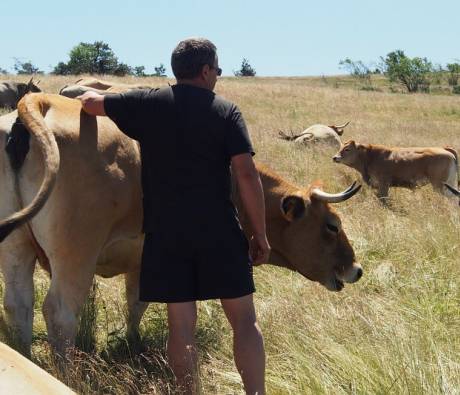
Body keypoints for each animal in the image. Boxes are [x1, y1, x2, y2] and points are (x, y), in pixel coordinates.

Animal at [0, 94, 362, 358]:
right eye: (331, 225)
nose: (356, 270)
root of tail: (40, 102)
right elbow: (140, 305)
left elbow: (134, 305)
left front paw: (131, 342)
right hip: (76, 257)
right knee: (59, 315)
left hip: (16, 250)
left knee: (18, 305)